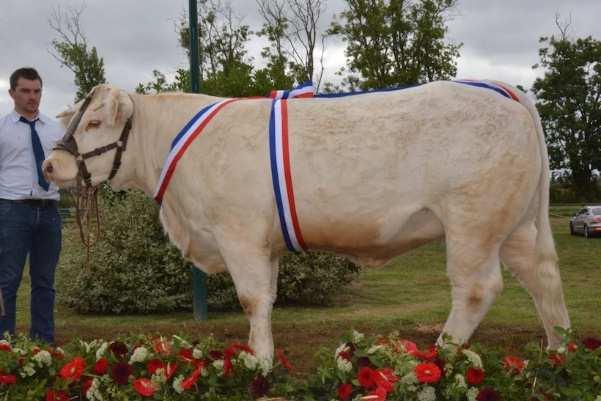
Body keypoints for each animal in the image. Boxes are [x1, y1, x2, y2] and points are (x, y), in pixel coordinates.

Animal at [42, 80, 568, 360]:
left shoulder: (238, 233)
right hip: (515, 226)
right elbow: (267, 299)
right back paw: (556, 351)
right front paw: (261, 352)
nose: (50, 165)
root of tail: (504, 90)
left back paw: (439, 354)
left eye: (94, 124)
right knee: (544, 279)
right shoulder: (264, 241)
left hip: (471, 222)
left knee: (477, 289)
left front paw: (258, 362)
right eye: (70, 119)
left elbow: (251, 299)